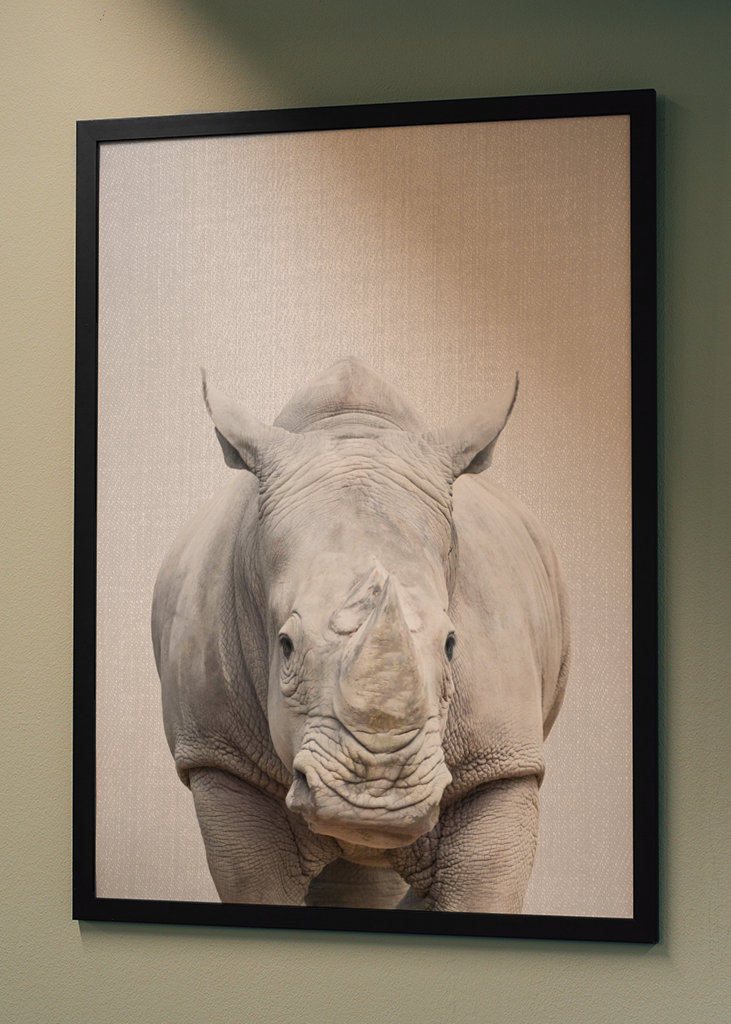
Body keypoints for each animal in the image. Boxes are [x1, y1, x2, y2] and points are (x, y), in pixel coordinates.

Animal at [152, 358, 569, 913]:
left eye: (451, 645)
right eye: (285, 646)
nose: (375, 798)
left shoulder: (503, 763)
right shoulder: (221, 756)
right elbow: (256, 881)